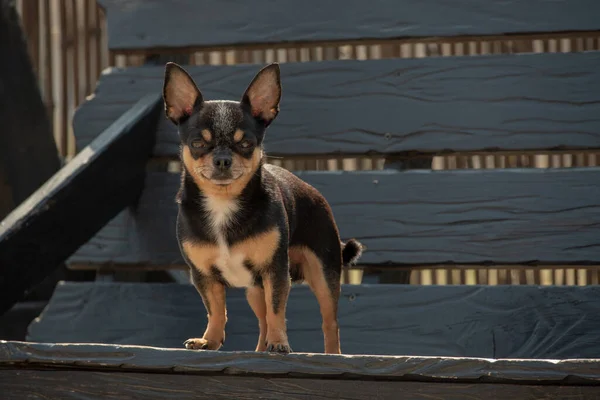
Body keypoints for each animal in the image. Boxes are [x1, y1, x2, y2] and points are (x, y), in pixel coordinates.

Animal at [162, 61, 364, 354]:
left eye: (245, 144)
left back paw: (331, 355)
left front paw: (280, 343)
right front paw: (210, 340)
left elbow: (277, 309)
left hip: (324, 274)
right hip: (254, 288)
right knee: (262, 320)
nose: (222, 159)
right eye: (198, 144)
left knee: (329, 322)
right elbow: (216, 310)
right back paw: (259, 350)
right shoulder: (203, 276)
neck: (223, 203)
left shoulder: (275, 271)